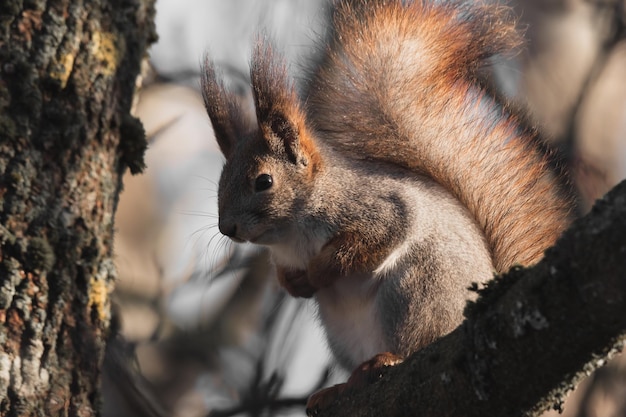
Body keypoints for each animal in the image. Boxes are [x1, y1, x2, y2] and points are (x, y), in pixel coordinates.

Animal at [202, 0, 572, 410]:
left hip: (415, 293)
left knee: (415, 343)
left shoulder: (378, 209)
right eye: (220, 182)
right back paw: (339, 387)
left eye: (263, 182)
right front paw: (295, 284)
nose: (226, 228)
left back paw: (388, 358)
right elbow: (286, 274)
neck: (291, 235)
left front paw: (318, 272)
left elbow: (372, 241)